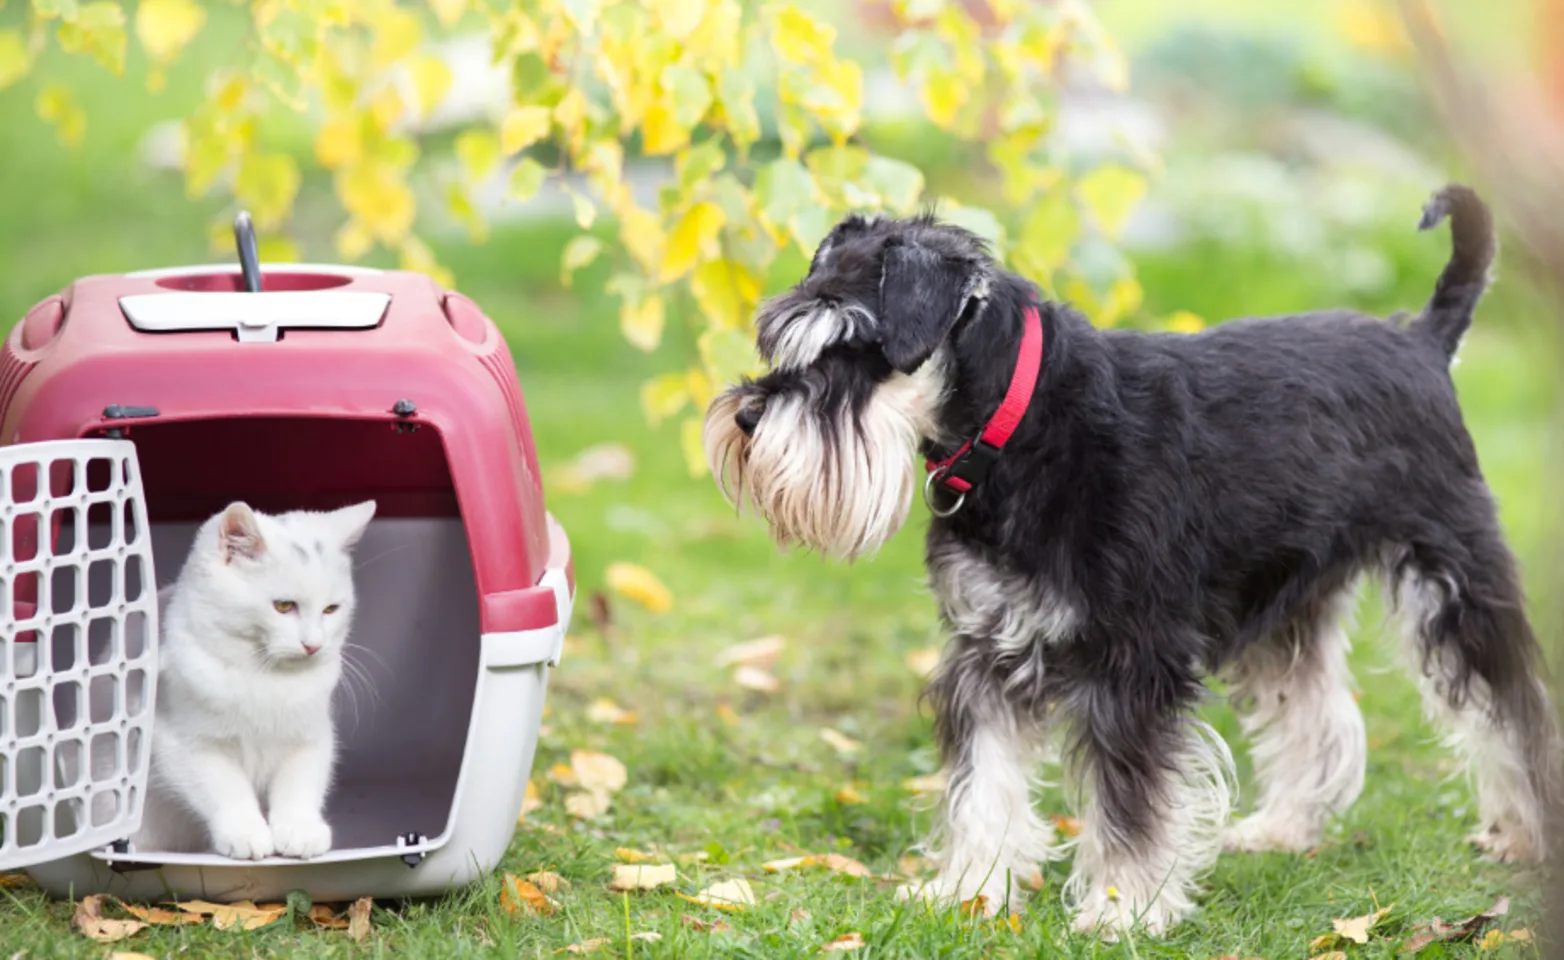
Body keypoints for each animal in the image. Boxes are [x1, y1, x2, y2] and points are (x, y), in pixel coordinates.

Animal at [132, 503, 376, 863]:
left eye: (331, 609)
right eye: (284, 606)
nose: (314, 645)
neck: (265, 676)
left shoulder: (309, 737)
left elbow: (300, 783)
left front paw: (299, 829)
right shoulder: (184, 744)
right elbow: (225, 787)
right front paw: (244, 832)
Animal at [706, 188, 1564, 938]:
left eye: (853, 344)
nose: (747, 416)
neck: (1021, 427)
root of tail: (1421, 338)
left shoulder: (1133, 663)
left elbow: (1131, 806)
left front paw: (1123, 910)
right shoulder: (986, 653)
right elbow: (982, 783)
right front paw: (968, 890)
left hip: (1453, 579)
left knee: (1512, 707)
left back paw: (1527, 836)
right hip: (1286, 602)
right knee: (1317, 715)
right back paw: (1284, 829)